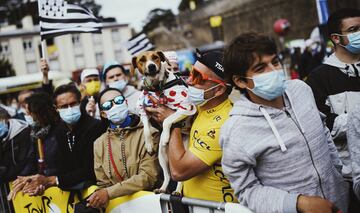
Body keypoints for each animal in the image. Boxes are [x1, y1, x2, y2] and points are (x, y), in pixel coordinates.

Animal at [131, 50, 195, 194]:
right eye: (142, 60)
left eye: (155, 57)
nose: (151, 66)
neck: (157, 87)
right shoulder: (143, 109)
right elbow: (146, 129)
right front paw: (149, 145)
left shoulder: (186, 108)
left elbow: (166, 120)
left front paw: (165, 136)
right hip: (162, 155)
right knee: (168, 175)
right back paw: (163, 188)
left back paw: (178, 190)